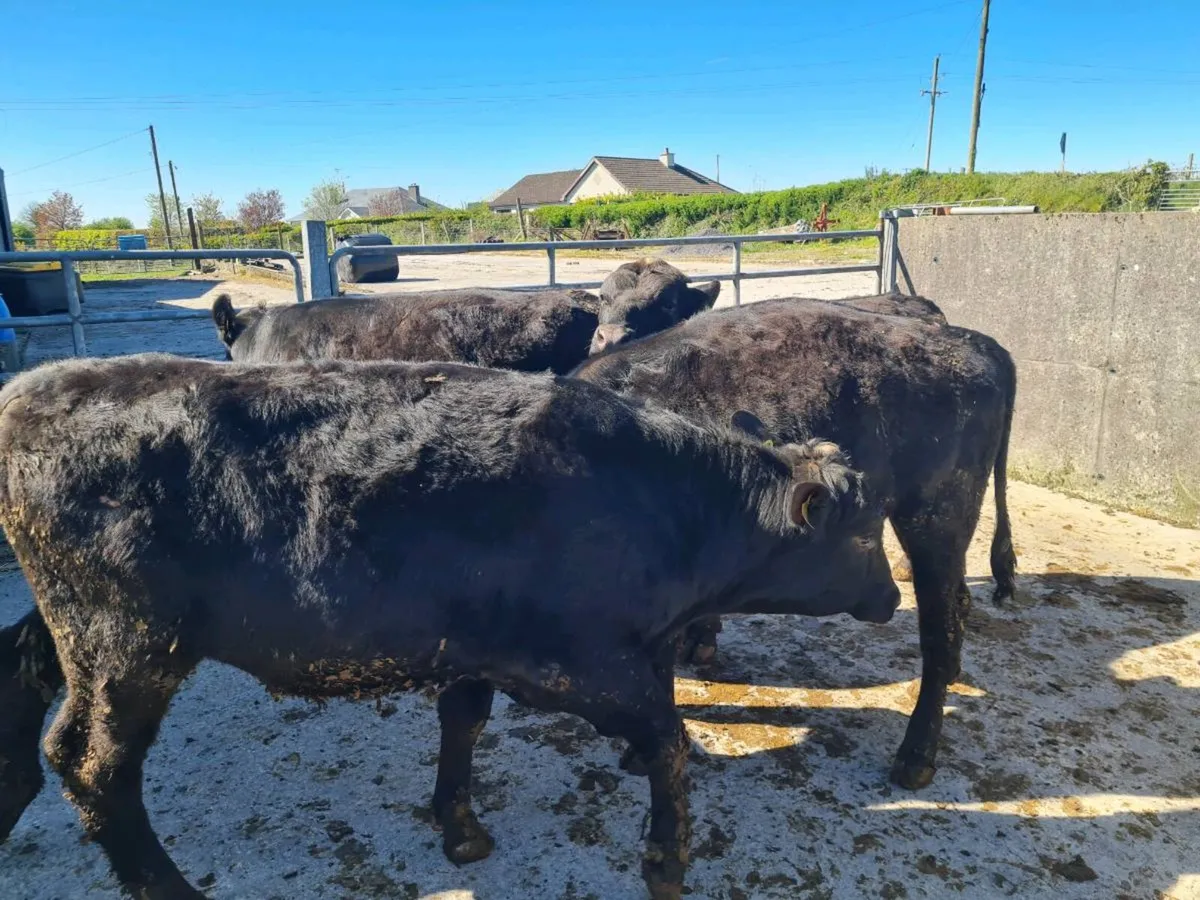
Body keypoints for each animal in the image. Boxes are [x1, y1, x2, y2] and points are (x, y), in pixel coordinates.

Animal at [0, 353, 896, 900]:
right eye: (863, 531)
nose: (892, 596)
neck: (660, 503)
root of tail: (30, 390)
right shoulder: (579, 665)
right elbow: (670, 742)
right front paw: (667, 858)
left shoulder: (473, 646)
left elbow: (462, 721)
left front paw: (458, 826)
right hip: (127, 646)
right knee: (93, 764)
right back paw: (166, 885)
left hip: (82, 638)